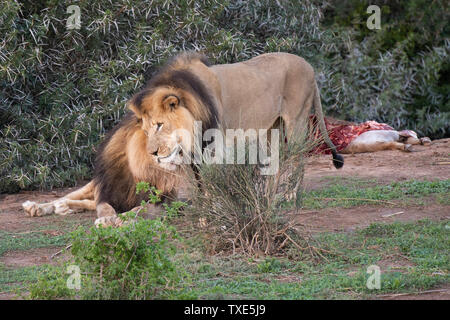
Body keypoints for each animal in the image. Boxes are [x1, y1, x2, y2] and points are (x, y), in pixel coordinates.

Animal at [22, 52, 342, 226]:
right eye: (145, 128)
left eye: (160, 125)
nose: (153, 153)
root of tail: (309, 66)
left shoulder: (212, 149)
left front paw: (209, 210)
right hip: (269, 129)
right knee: (80, 194)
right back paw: (44, 206)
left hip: (294, 123)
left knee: (297, 160)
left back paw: (285, 196)